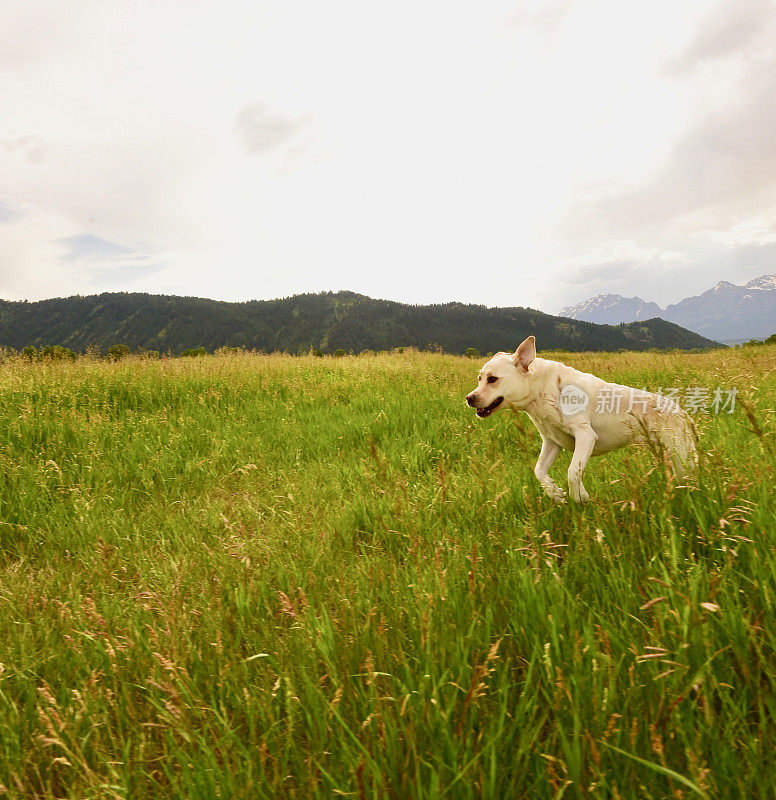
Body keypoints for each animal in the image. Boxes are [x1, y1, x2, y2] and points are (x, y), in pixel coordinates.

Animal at [466, 340, 696, 506]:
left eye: (492, 379)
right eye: (479, 378)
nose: (469, 398)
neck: (543, 391)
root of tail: (684, 414)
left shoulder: (585, 436)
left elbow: (572, 472)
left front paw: (578, 497)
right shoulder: (552, 442)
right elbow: (539, 470)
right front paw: (556, 493)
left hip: (682, 458)